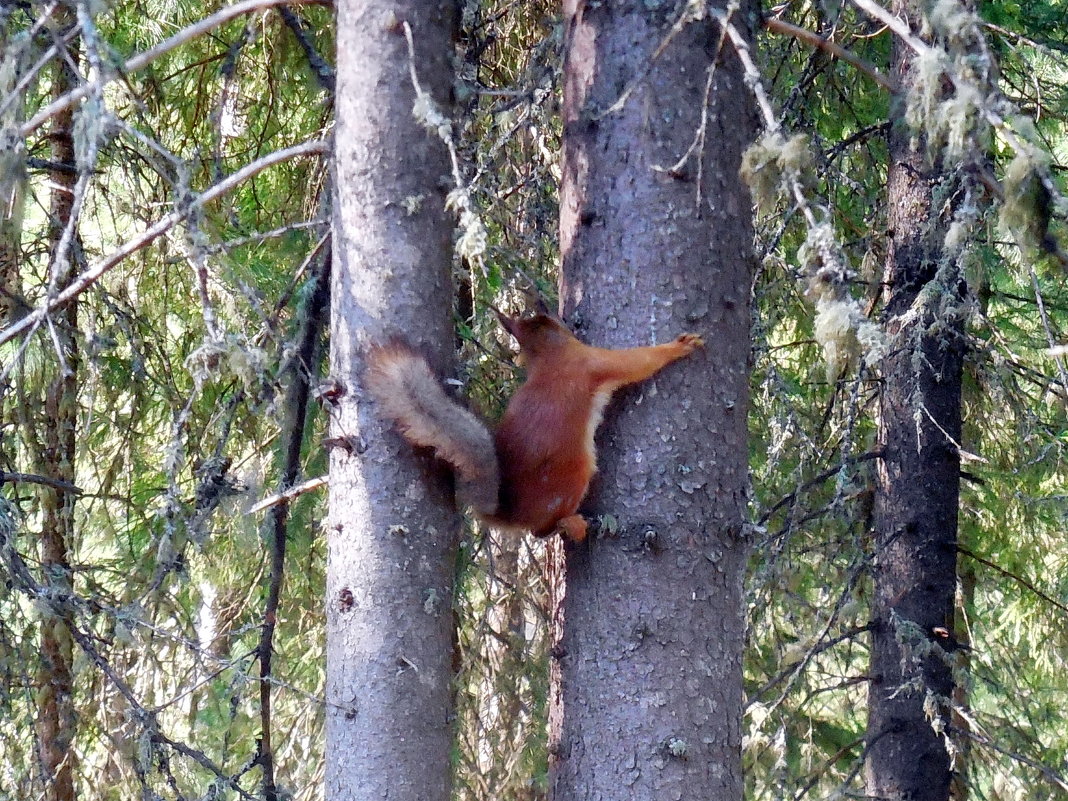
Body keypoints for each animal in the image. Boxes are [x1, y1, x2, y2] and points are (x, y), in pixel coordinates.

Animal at [363, 309, 704, 542]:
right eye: (549, 318)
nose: (563, 315)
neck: (550, 357)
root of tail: (509, 514)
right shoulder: (592, 361)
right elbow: (637, 362)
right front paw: (678, 347)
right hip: (574, 474)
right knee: (541, 530)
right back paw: (571, 525)